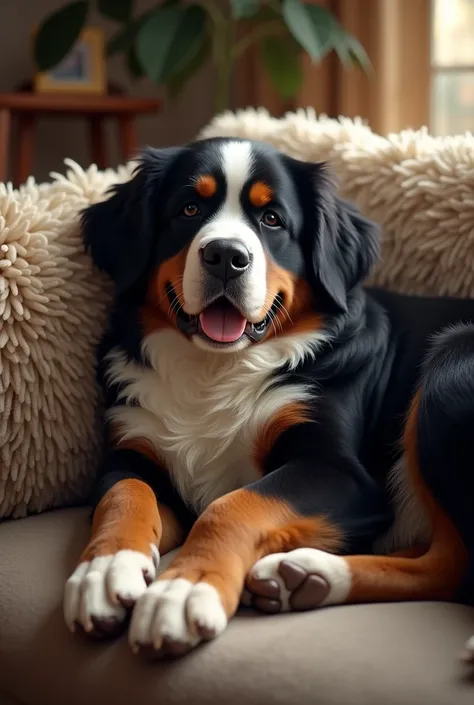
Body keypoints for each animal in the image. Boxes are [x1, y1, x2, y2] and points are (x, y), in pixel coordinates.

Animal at [64, 136, 474, 660]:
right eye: (189, 208)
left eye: (273, 219)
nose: (226, 255)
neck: (214, 371)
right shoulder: (128, 450)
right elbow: (124, 496)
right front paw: (103, 571)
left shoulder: (339, 471)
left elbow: (234, 503)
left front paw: (183, 590)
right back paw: (305, 575)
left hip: (451, 360)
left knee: (454, 565)